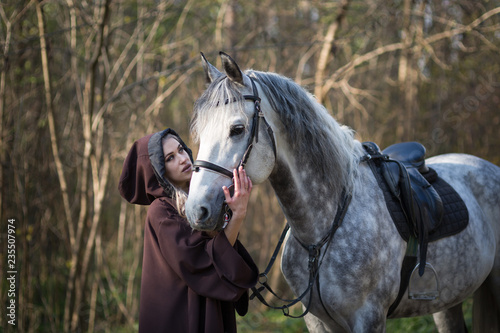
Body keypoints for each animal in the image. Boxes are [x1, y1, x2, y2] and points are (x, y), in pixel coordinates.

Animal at [185, 52, 500, 330]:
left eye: (237, 129)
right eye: (201, 131)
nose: (196, 210)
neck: (322, 230)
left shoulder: (369, 317)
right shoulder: (316, 321)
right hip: (447, 303)